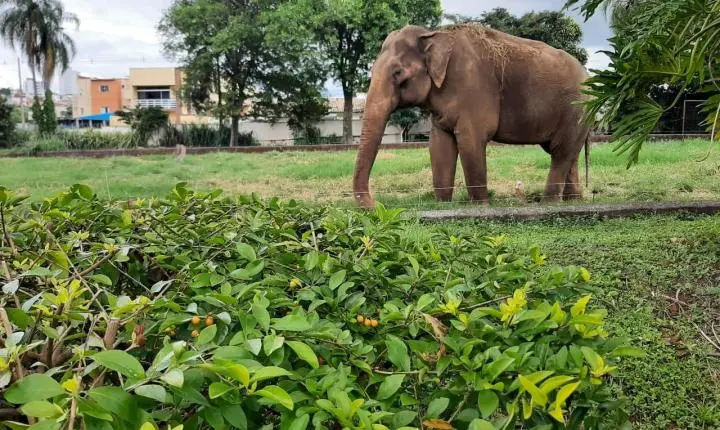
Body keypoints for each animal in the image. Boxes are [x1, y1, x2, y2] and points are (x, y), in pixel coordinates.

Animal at [352, 23, 591, 209]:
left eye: (398, 73)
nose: (377, 205)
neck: (434, 34)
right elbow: (439, 145)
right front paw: (442, 205)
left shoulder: (473, 89)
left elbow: (471, 141)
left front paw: (481, 206)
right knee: (566, 152)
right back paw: (573, 201)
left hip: (576, 109)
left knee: (560, 152)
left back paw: (549, 203)